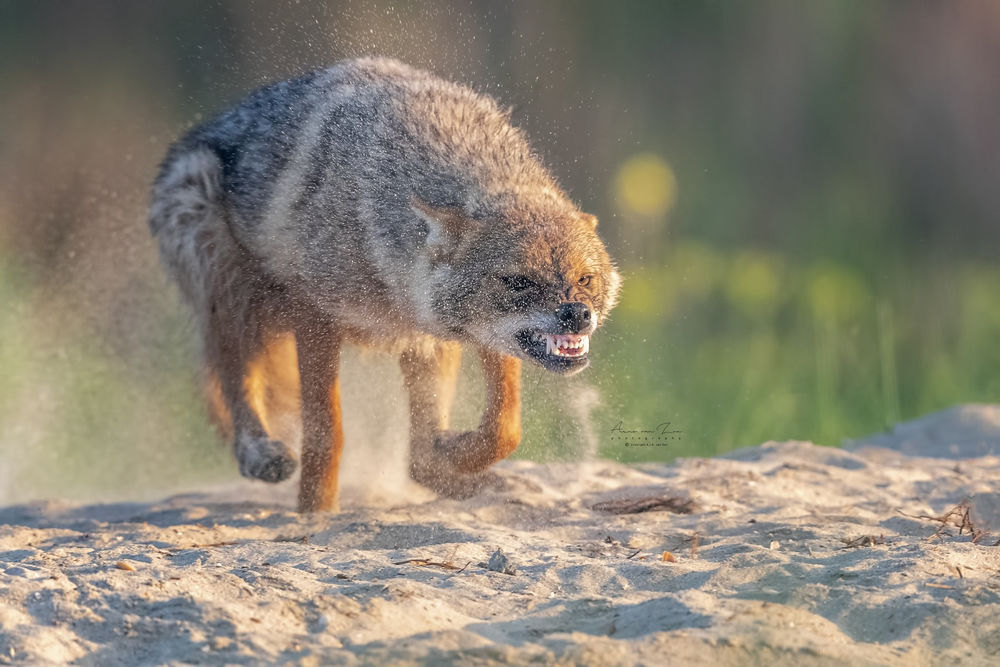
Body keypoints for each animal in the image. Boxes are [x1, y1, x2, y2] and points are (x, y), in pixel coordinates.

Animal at [149, 58, 621, 512]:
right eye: (519, 282)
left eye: (585, 279)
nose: (576, 314)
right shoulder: (315, 316)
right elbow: (326, 433)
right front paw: (314, 512)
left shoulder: (447, 333)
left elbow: (504, 428)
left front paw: (459, 451)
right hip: (233, 297)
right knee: (234, 376)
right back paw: (260, 454)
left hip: (421, 345)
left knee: (417, 459)